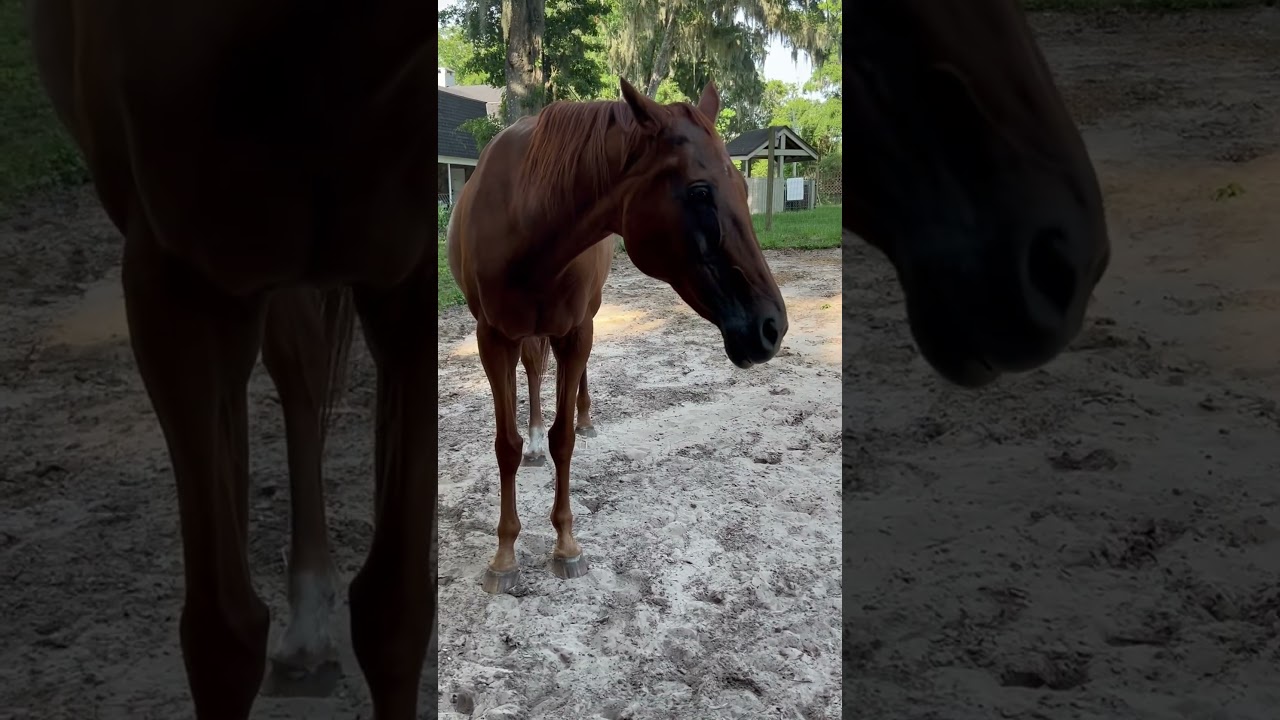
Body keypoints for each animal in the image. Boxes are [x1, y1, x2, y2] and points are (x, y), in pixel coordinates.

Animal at [27, 2, 435, 718]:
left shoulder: (410, 290)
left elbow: (395, 610)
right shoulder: (175, 292)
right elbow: (222, 634)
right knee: (284, 381)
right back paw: (304, 630)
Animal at [446, 78, 789, 595]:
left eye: (744, 187)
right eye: (700, 191)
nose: (773, 327)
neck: (528, 226)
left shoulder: (575, 332)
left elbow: (563, 438)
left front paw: (566, 545)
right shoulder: (493, 339)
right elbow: (505, 445)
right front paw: (504, 555)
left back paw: (585, 419)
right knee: (532, 374)